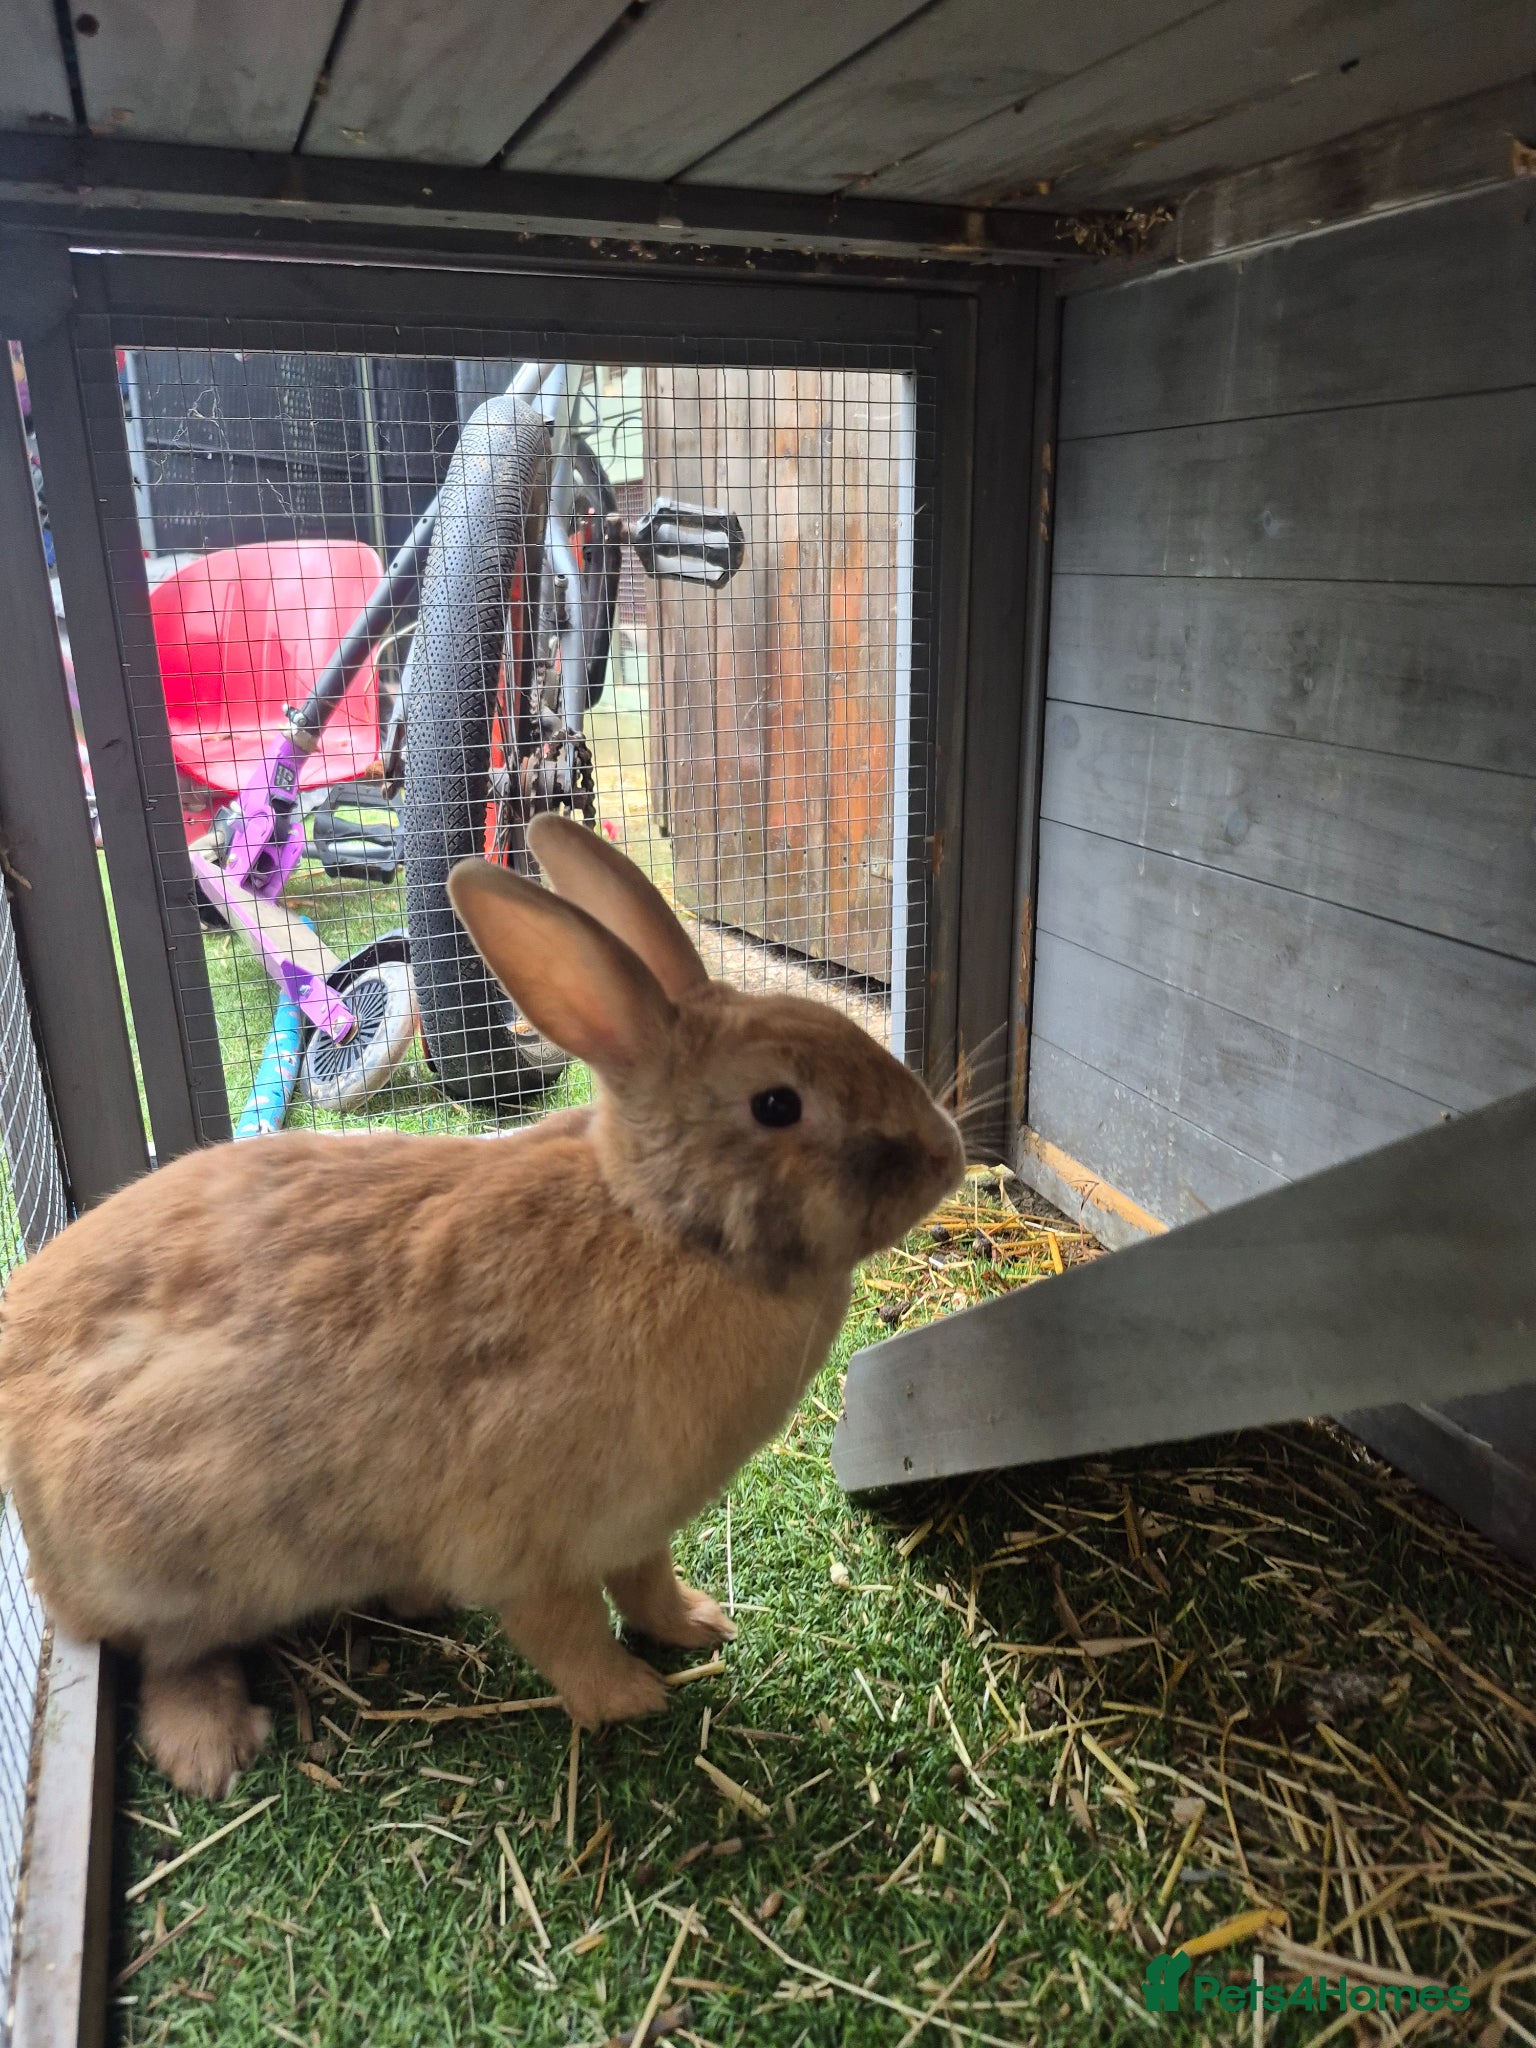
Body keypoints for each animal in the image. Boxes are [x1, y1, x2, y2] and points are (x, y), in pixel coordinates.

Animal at [0, 815, 964, 1798]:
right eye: (776, 1104)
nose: (947, 1155)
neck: (661, 1227)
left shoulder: (638, 1529)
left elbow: (647, 1585)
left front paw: (699, 1625)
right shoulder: (531, 1542)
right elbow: (565, 1631)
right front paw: (631, 1700)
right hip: (177, 1557)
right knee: (166, 1657)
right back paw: (212, 1746)